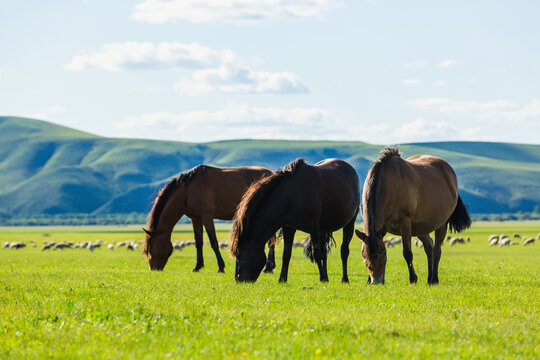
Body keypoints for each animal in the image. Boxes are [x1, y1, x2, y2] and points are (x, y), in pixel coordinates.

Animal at [142, 165, 278, 272]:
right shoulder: (195, 219)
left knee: (271, 240)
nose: (153, 268)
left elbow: (213, 242)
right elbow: (198, 242)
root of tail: (272, 174)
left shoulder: (206, 217)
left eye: (151, 247)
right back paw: (270, 266)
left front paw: (221, 267)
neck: (188, 191)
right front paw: (198, 266)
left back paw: (268, 267)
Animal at [228, 159, 358, 282]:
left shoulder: (314, 227)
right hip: (325, 228)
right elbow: (286, 254)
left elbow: (316, 253)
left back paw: (344, 279)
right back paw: (327, 275)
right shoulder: (288, 227)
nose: (238, 279)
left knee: (344, 251)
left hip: (350, 223)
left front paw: (322, 279)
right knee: (325, 251)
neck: (291, 196)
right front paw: (282, 279)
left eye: (239, 254)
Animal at [356, 146, 470, 284]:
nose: (377, 281)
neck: (390, 186)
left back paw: (434, 279)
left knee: (437, 251)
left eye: (383, 253)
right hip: (421, 228)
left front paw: (413, 278)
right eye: (363, 254)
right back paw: (430, 278)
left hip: (441, 225)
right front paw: (368, 280)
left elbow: (407, 253)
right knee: (429, 247)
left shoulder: (405, 224)